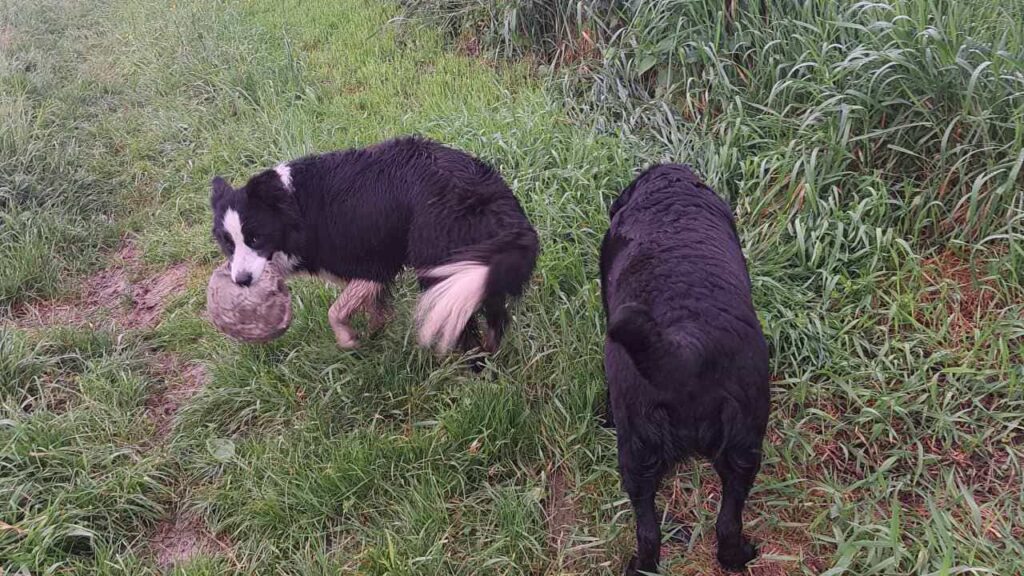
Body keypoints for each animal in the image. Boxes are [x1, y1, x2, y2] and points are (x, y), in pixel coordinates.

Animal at [211, 136, 540, 354]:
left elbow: (335, 311)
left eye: (255, 238)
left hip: (440, 264)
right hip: (477, 268)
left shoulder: (375, 265)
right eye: (227, 244)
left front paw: (349, 340)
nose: (241, 281)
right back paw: (489, 356)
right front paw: (374, 334)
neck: (294, 205)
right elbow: (375, 310)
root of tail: (496, 199)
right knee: (495, 315)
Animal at [598, 163, 770, 569]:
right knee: (726, 522)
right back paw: (736, 558)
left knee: (648, 530)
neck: (671, 199)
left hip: (636, 450)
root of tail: (689, 349)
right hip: (743, 449)